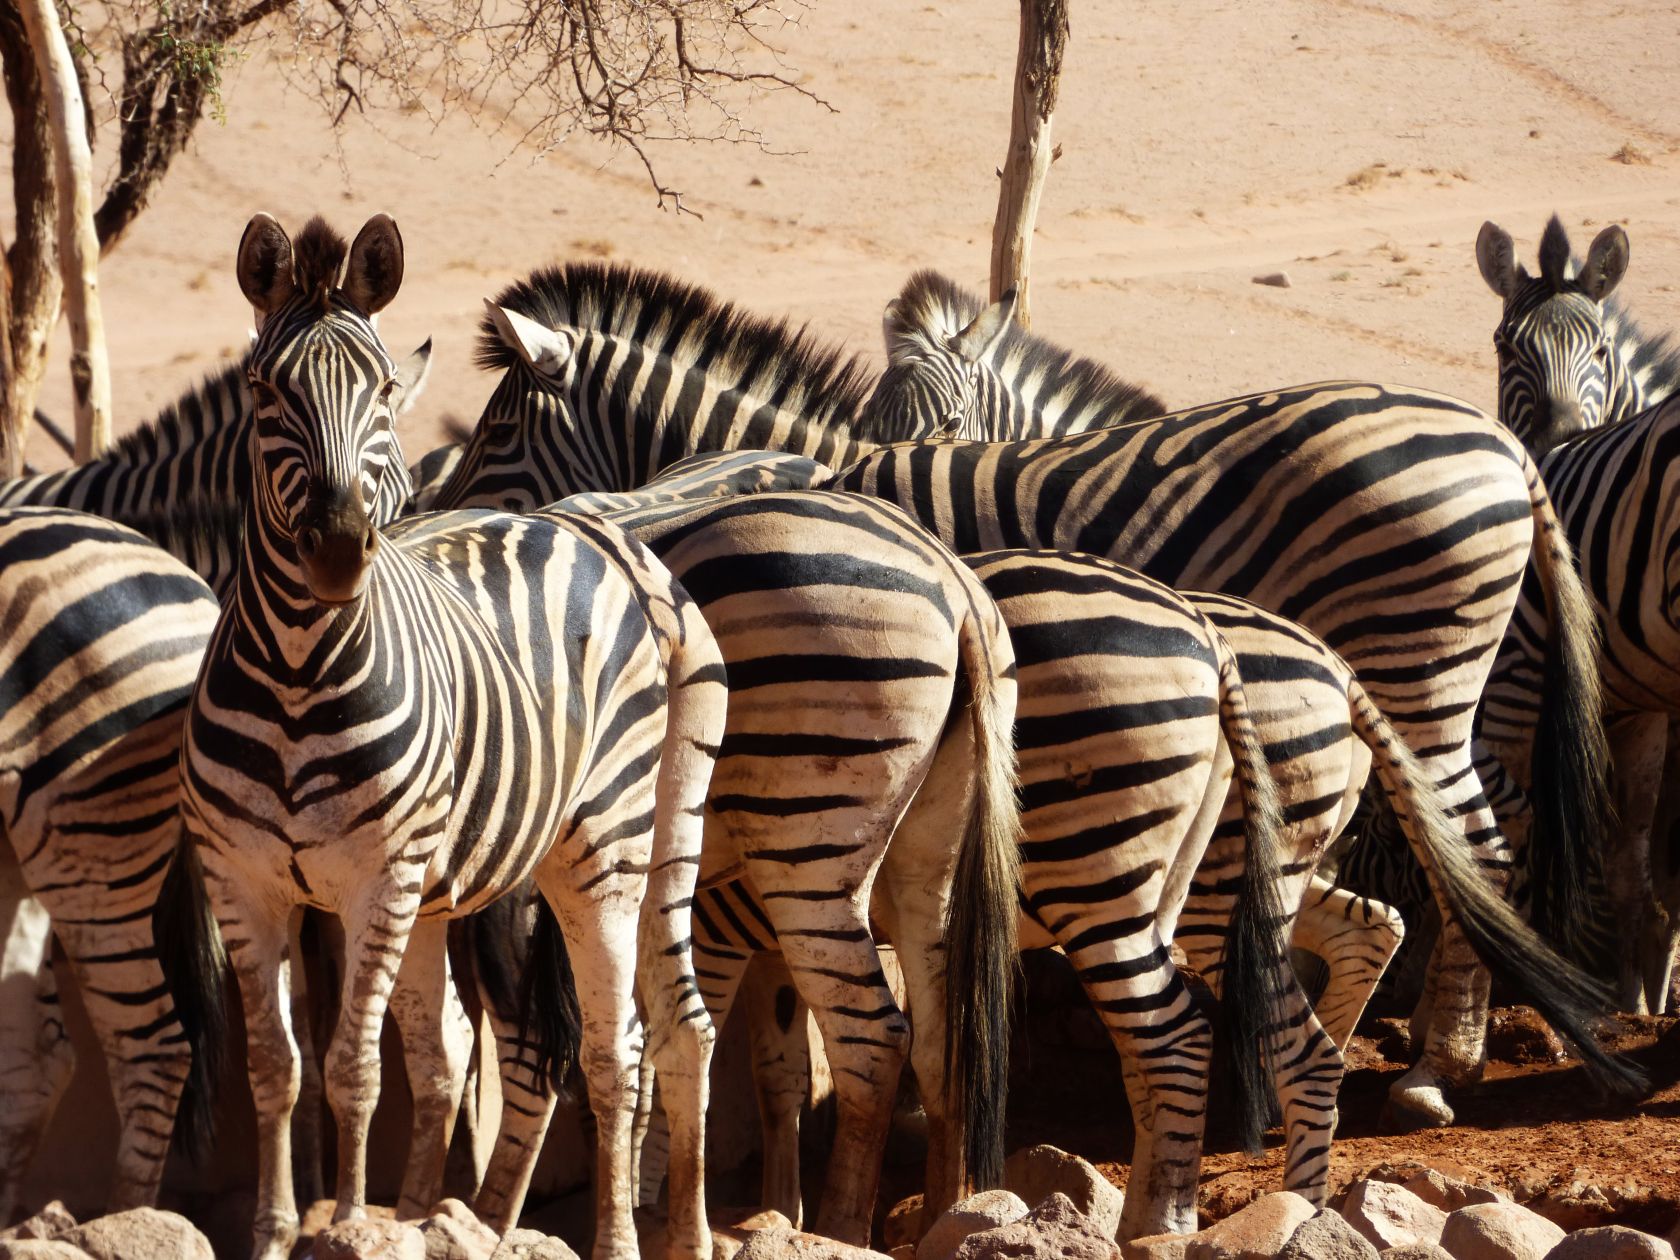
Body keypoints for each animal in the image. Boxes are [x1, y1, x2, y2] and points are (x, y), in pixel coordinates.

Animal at [178, 216, 729, 1260]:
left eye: (385, 391)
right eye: (267, 393)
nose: (339, 549)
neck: (298, 671)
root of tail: (609, 541)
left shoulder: (376, 879)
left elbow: (352, 1066)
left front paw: (348, 1225)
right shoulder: (242, 879)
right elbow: (277, 1065)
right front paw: (281, 1232)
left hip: (618, 845)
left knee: (629, 1045)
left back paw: (631, 1238)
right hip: (456, 885)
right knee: (468, 1055)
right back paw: (450, 1219)